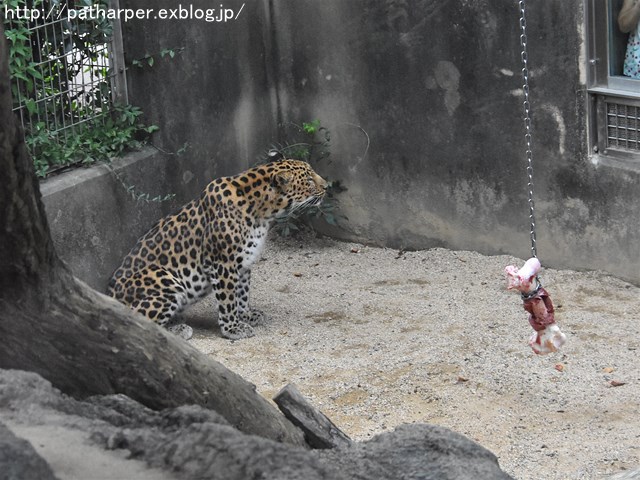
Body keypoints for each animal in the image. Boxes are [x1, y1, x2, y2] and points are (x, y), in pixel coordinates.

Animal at [107, 159, 328, 340]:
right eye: (309, 179)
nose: (327, 186)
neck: (262, 213)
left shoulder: (244, 264)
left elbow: (242, 294)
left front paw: (246, 315)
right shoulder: (223, 264)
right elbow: (228, 299)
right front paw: (233, 329)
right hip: (165, 278)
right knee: (136, 322)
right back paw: (177, 330)